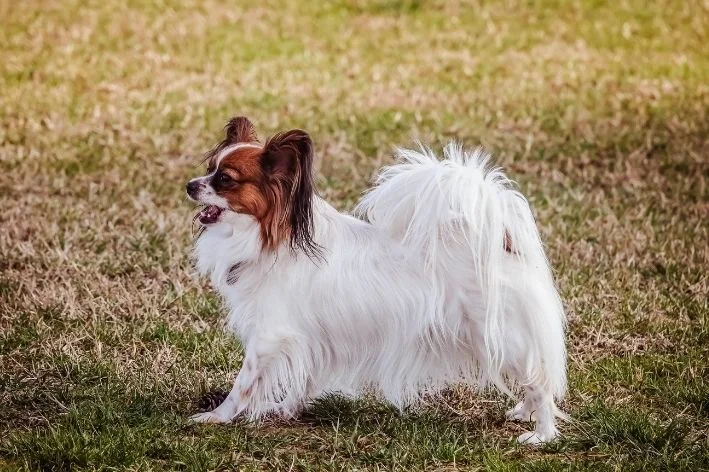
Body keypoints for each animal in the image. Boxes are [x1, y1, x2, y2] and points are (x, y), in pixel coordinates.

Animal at [185, 117, 568, 442]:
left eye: (225, 179)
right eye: (209, 169)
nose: (189, 185)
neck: (270, 237)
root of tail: (502, 242)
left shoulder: (268, 335)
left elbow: (243, 383)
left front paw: (217, 417)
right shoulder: (308, 337)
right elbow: (303, 378)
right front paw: (286, 410)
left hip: (503, 337)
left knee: (540, 381)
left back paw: (542, 434)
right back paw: (523, 412)